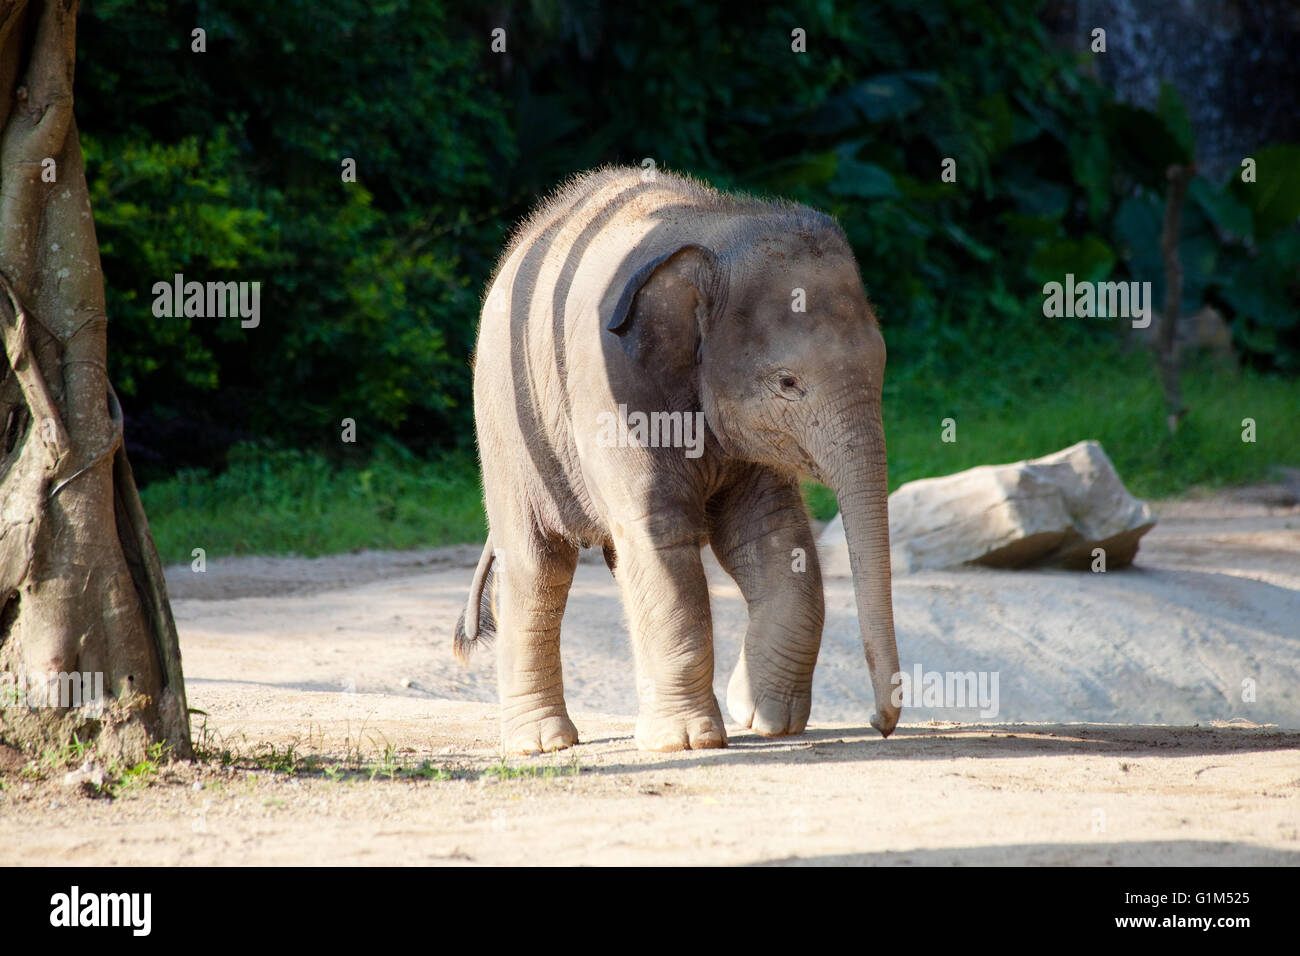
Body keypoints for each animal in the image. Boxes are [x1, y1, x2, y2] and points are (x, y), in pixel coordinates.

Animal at [454, 166, 900, 754]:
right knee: (537, 562)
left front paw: (761, 717)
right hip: (505, 421)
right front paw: (689, 742)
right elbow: (663, 536)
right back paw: (543, 743)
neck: (720, 231)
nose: (879, 723)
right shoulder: (614, 386)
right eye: (788, 383)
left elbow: (772, 534)